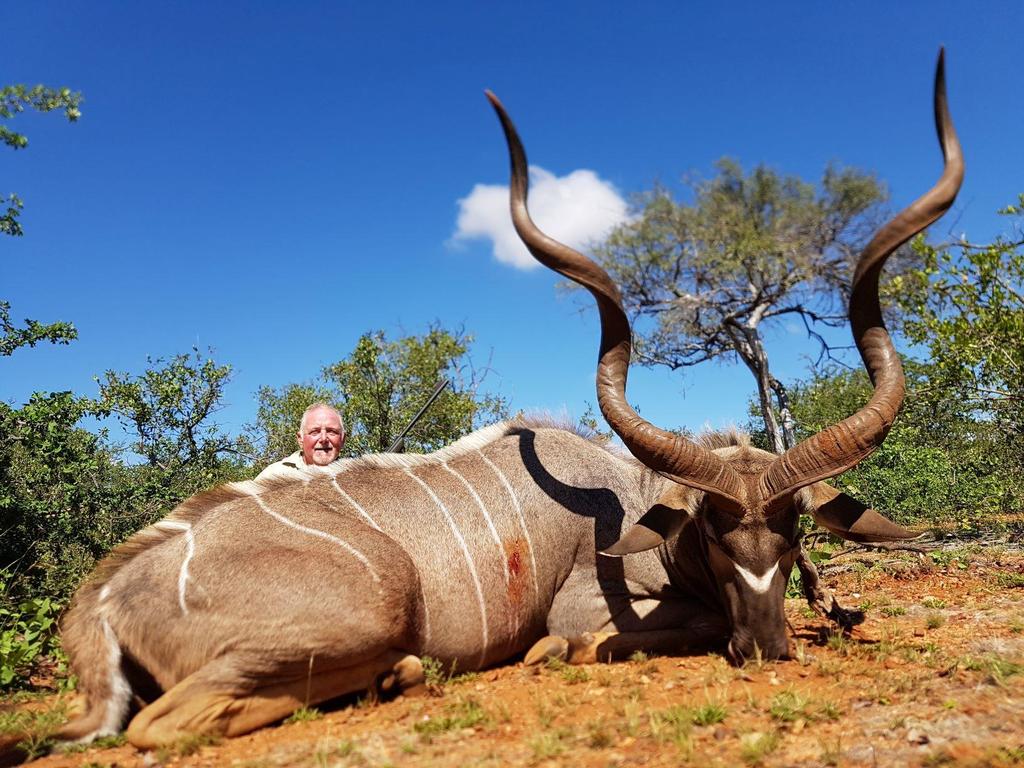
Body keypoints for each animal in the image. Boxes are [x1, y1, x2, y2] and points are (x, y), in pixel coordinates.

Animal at [46, 54, 958, 753]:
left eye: (796, 524)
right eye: (709, 527)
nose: (767, 648)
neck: (631, 500)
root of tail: (103, 600)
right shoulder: (593, 605)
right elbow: (615, 634)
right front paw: (551, 652)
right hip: (370, 605)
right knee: (160, 725)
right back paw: (397, 675)